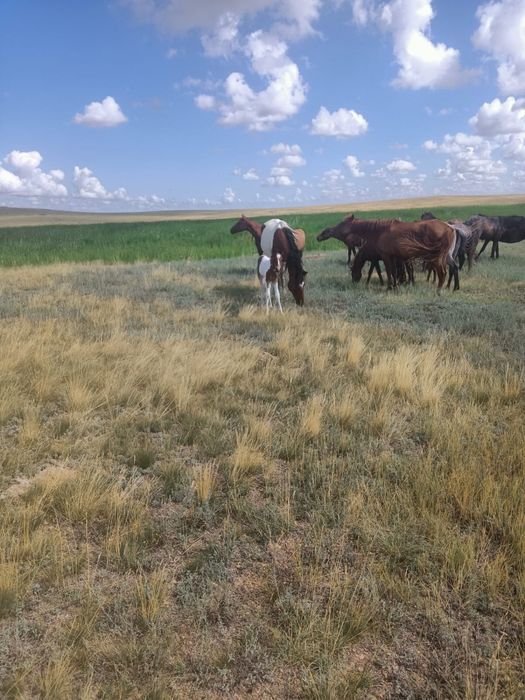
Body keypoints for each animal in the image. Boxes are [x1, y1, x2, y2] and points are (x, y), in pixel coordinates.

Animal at [325, 215, 455, 292]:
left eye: (342, 223)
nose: (330, 230)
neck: (380, 231)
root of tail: (449, 228)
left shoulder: (386, 256)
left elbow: (388, 272)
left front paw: (389, 287)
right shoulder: (393, 257)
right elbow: (393, 272)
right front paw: (395, 286)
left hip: (436, 258)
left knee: (442, 273)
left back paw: (438, 291)